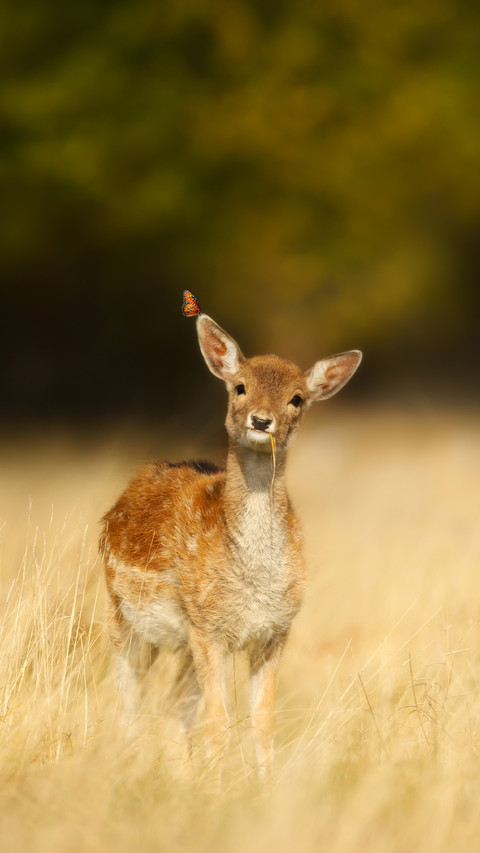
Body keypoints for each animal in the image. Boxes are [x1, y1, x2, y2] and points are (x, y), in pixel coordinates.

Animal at [100, 310, 362, 783]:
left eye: (297, 398)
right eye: (240, 386)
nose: (261, 421)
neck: (251, 583)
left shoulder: (276, 630)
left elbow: (263, 722)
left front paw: (261, 788)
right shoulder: (208, 628)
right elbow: (218, 722)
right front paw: (218, 792)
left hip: (181, 643)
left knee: (171, 710)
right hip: (122, 614)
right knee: (130, 700)